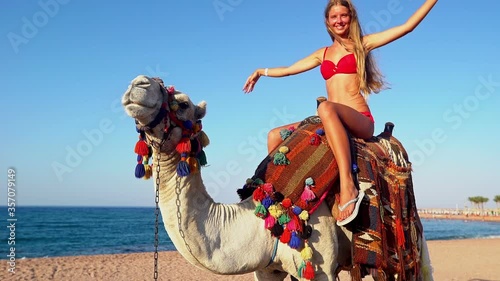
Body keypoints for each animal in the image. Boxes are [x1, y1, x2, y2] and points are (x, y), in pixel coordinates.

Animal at [121, 75, 434, 280]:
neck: (261, 217)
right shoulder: (265, 270)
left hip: (410, 239)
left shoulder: (320, 266)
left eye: (184, 103)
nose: (138, 83)